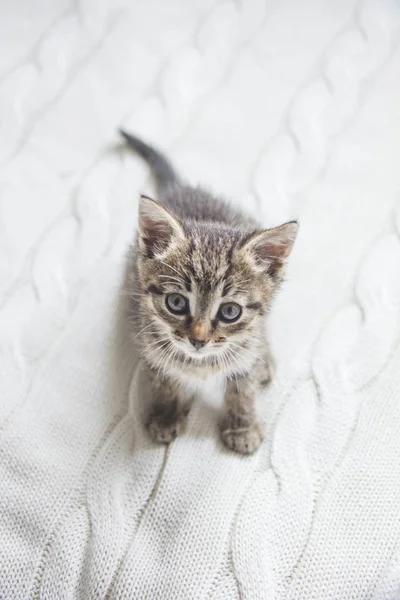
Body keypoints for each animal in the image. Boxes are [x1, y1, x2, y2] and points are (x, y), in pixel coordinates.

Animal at [122, 129, 296, 452]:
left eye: (230, 311)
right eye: (176, 303)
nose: (198, 340)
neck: (200, 362)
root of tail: (183, 188)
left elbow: (243, 385)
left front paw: (242, 426)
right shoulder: (148, 341)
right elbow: (164, 377)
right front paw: (166, 414)